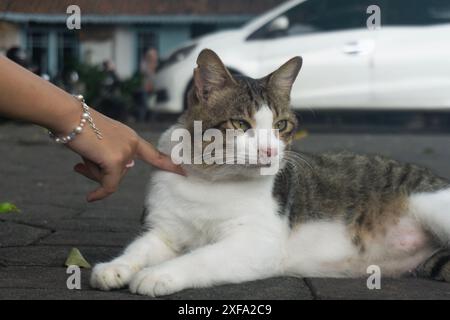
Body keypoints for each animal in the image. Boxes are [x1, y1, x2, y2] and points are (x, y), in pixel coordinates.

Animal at [90, 48, 450, 298]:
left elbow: (201, 257)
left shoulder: (256, 244)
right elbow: (140, 248)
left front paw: (159, 274)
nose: (270, 151)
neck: (210, 178)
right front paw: (115, 267)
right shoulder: (166, 230)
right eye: (240, 124)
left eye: (282, 125)